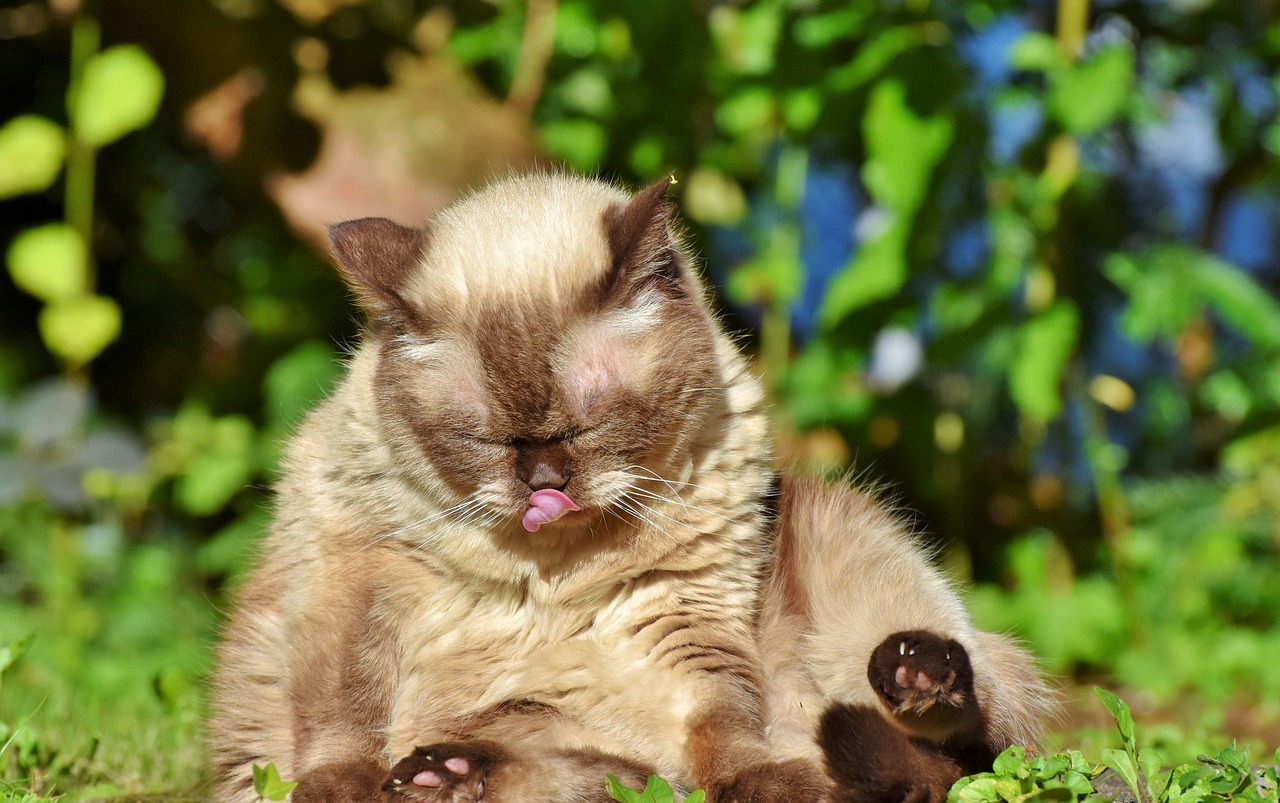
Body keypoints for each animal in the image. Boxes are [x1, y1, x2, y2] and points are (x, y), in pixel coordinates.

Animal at [207, 172, 1049, 799]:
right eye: (487, 441)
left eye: (586, 427)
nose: (543, 483)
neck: (544, 570)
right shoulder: (354, 588)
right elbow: (342, 716)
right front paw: (342, 787)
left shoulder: (686, 611)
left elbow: (727, 723)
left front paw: (764, 781)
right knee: (595, 779)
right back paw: (443, 777)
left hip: (840, 531)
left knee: (966, 740)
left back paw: (908, 683)